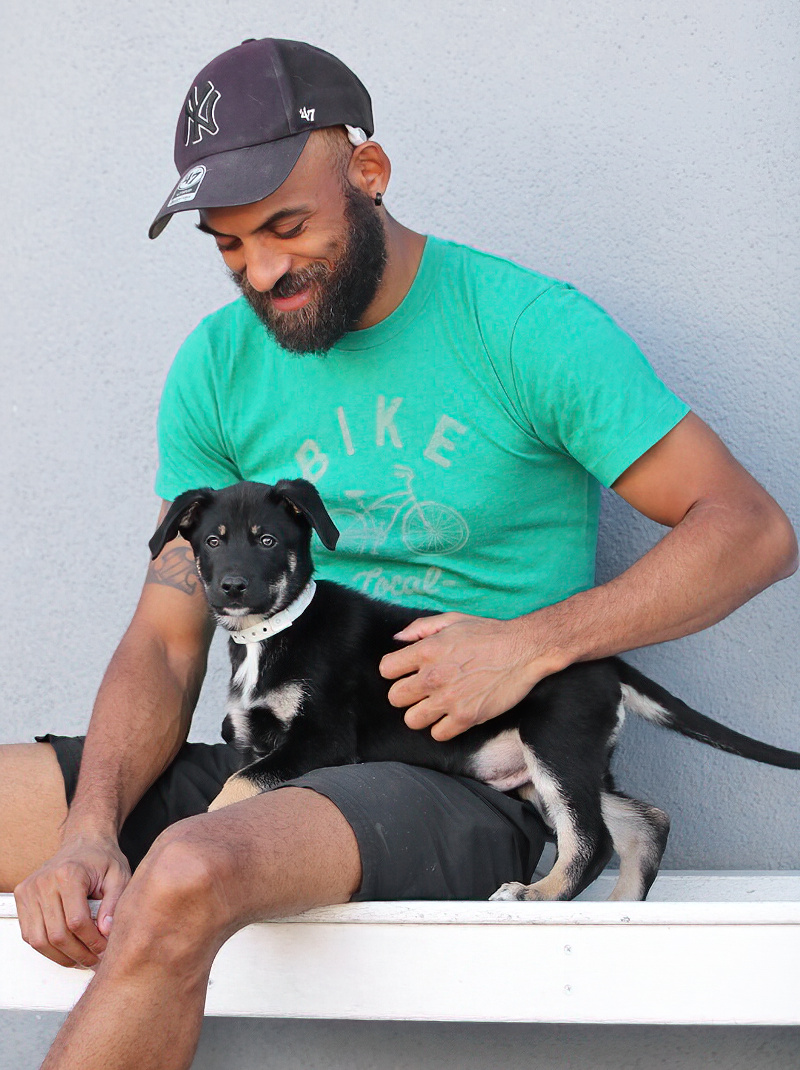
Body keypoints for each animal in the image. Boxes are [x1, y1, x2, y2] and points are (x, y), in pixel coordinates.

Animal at [149, 479, 800, 902]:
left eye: (266, 541)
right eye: (212, 541)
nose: (232, 588)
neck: (274, 631)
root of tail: (606, 662)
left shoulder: (321, 740)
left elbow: (232, 789)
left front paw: (187, 830)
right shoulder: (258, 742)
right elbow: (241, 774)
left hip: (555, 744)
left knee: (589, 840)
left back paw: (537, 897)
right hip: (548, 767)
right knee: (645, 820)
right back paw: (620, 910)